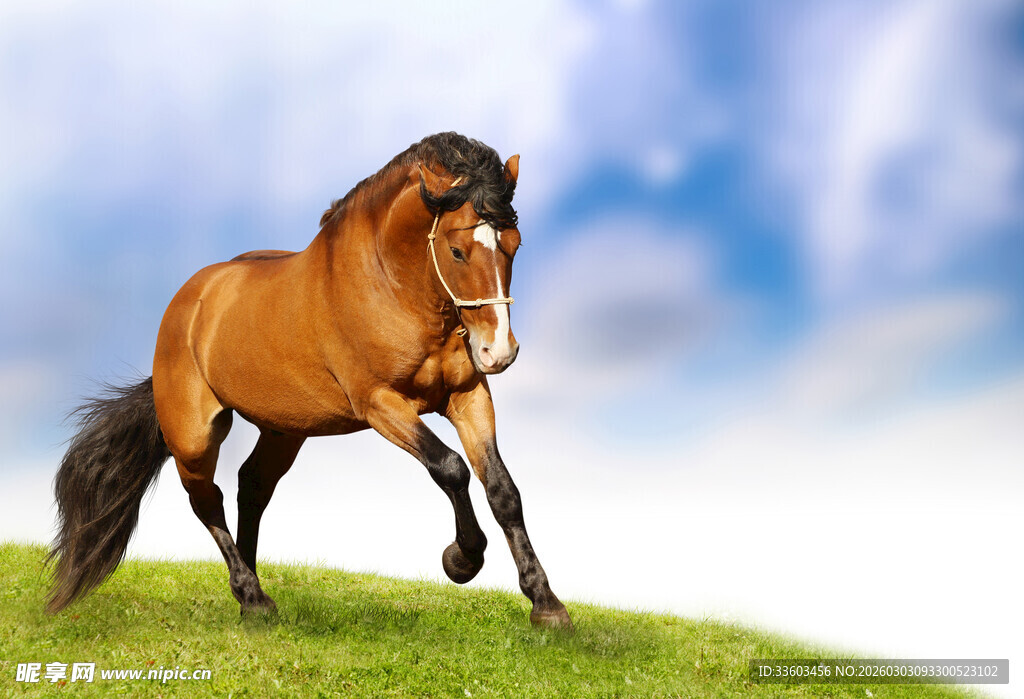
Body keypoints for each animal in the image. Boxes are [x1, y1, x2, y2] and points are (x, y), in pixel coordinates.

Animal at [47, 132, 572, 630]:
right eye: (458, 251)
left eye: (514, 245)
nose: (498, 352)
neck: (392, 286)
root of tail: (187, 302)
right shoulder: (380, 403)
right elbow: (450, 467)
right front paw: (461, 559)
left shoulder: (467, 396)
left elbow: (503, 490)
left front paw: (547, 606)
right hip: (194, 435)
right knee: (207, 500)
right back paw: (253, 598)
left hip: (284, 429)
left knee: (252, 487)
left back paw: (250, 594)